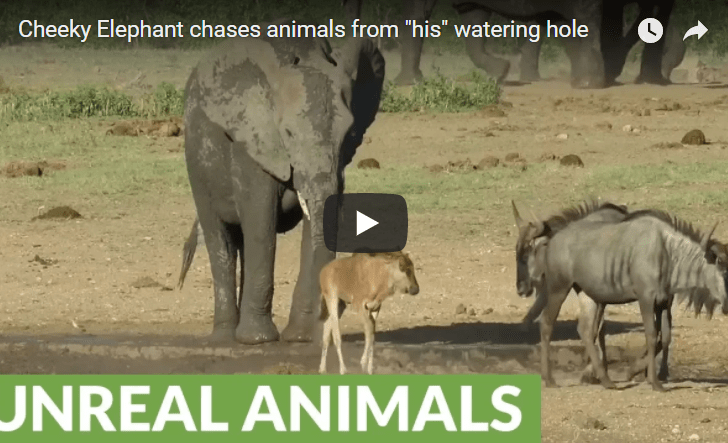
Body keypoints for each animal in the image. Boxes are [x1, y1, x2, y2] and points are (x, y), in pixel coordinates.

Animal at [182, 33, 385, 344]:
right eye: (287, 133)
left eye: (349, 133)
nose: (336, 308)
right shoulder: (251, 143)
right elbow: (260, 222)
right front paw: (259, 340)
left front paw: (301, 338)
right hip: (195, 161)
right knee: (221, 238)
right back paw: (226, 338)